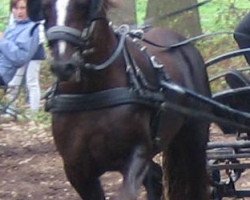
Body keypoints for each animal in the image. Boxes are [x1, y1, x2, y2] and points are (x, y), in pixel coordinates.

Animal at [27, 0, 211, 199]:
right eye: (45, 7)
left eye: (83, 5)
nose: (63, 65)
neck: (92, 92)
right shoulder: (76, 169)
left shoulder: (138, 154)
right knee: (155, 178)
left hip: (194, 136)